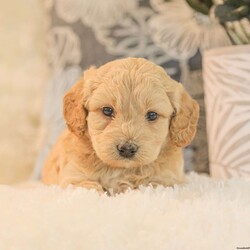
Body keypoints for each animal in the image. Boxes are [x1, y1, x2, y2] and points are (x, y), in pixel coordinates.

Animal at [42, 57, 199, 193]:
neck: (122, 170)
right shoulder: (73, 178)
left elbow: (152, 186)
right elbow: (89, 188)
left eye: (152, 115)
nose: (127, 149)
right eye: (107, 110)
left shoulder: (168, 180)